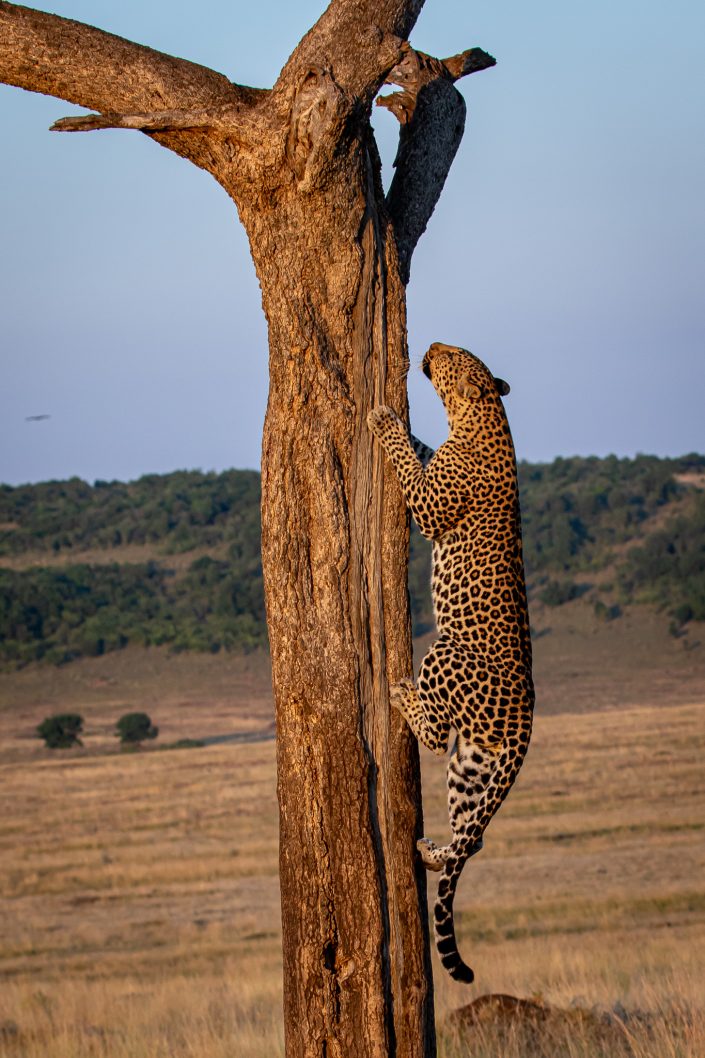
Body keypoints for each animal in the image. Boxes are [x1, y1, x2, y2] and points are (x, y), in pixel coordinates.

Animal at [367, 342, 534, 984]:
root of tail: (526, 720)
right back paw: (432, 852)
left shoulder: (431, 505)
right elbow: (419, 452)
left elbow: (409, 466)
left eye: (454, 355)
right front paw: (404, 423)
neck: (482, 416)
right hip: (473, 763)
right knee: (474, 837)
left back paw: (400, 693)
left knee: (436, 734)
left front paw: (384, 419)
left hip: (445, 652)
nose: (432, 345)